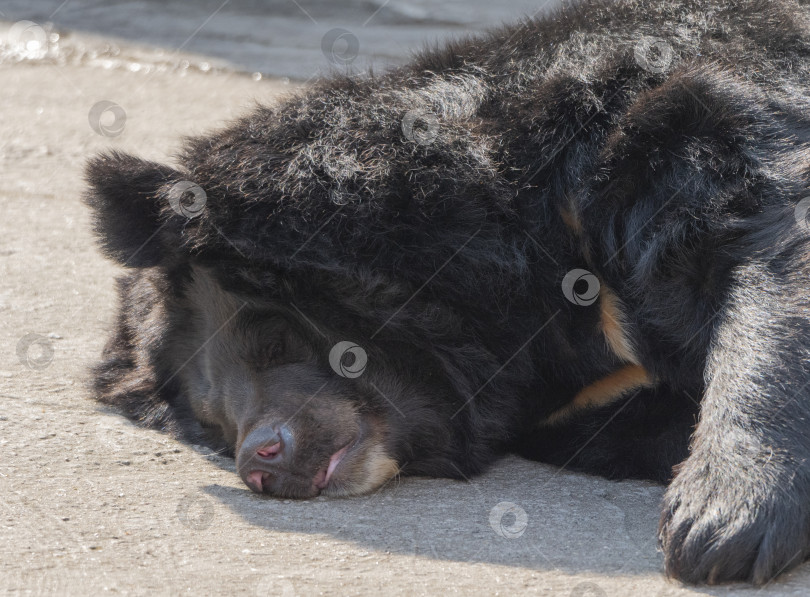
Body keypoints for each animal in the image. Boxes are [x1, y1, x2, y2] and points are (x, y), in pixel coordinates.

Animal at [85, 0, 808, 588]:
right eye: (213, 421)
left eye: (270, 336)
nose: (260, 460)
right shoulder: (583, 400)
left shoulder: (677, 114)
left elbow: (775, 234)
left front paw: (719, 525)